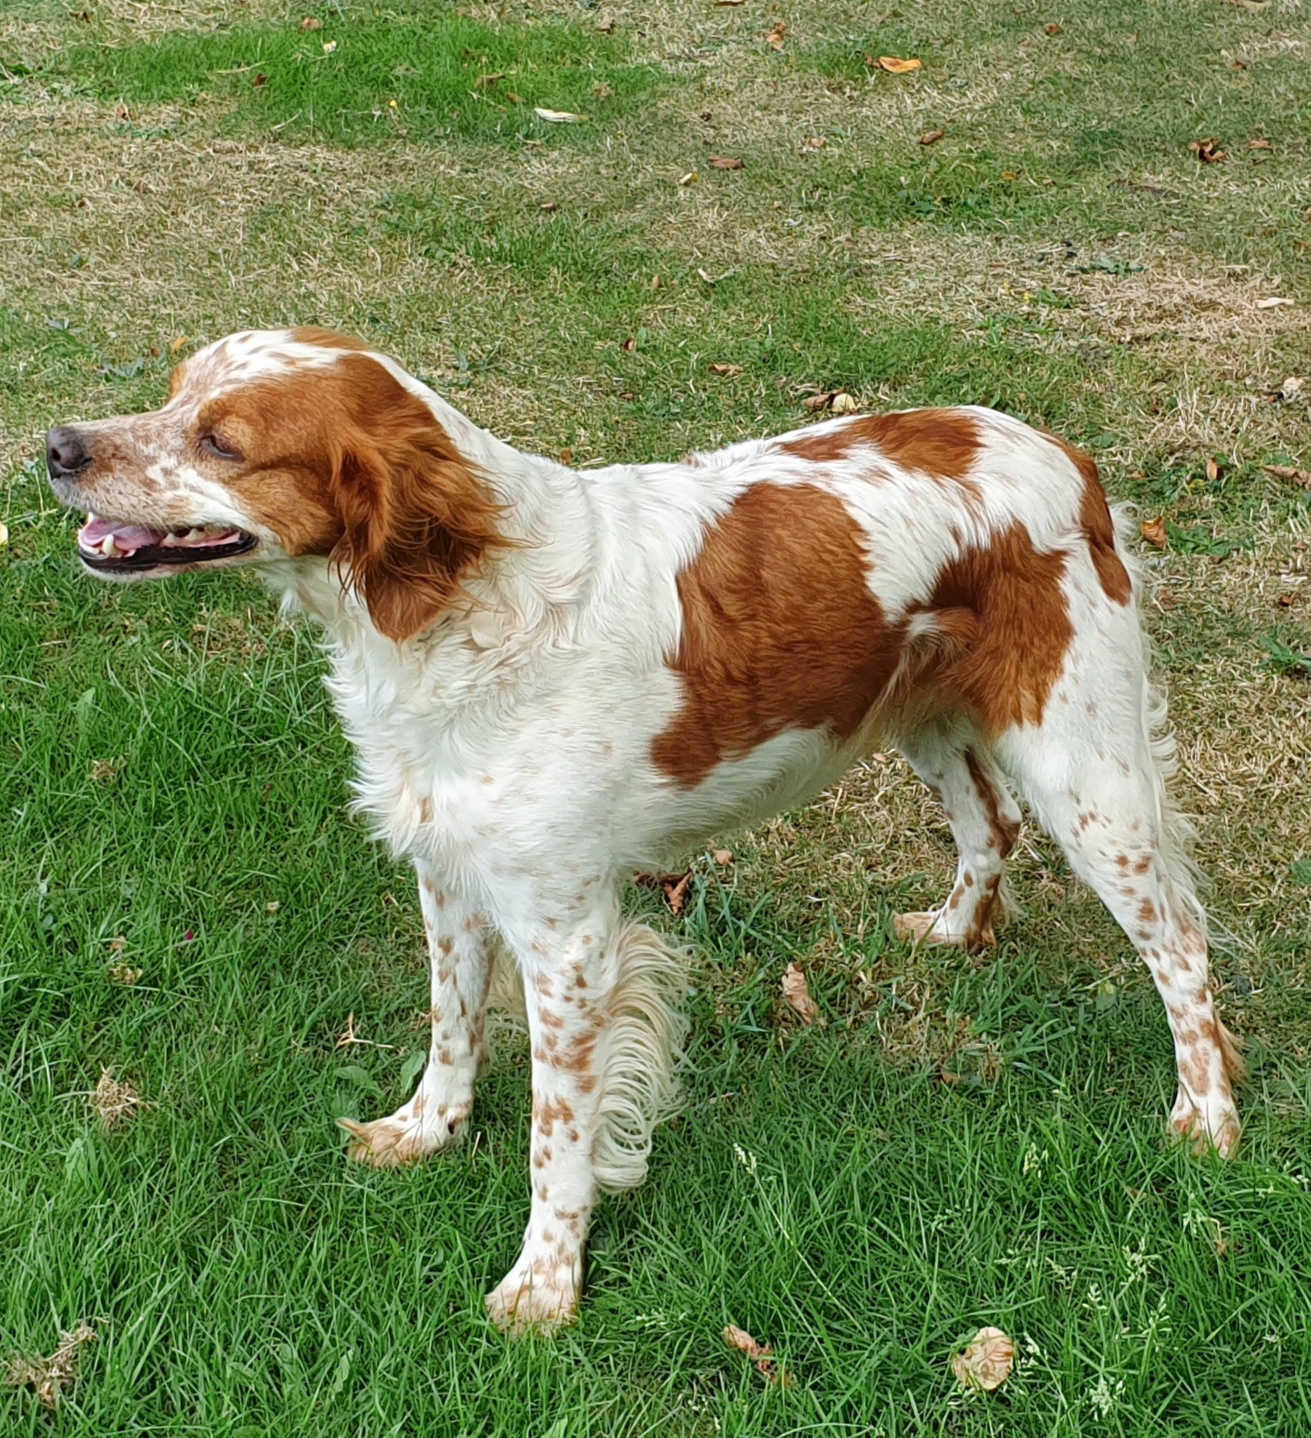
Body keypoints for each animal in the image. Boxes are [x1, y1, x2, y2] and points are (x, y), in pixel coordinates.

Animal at [46, 327, 1242, 1332]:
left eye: (222, 439)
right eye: (171, 392)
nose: (57, 446)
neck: (458, 608)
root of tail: (1062, 450)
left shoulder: (569, 936)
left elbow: (556, 1134)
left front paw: (544, 1285)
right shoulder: (451, 872)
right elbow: (450, 1026)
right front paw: (426, 1132)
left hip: (1085, 772)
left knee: (1181, 947)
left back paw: (1210, 1120)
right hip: (926, 716)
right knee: (989, 823)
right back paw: (954, 934)